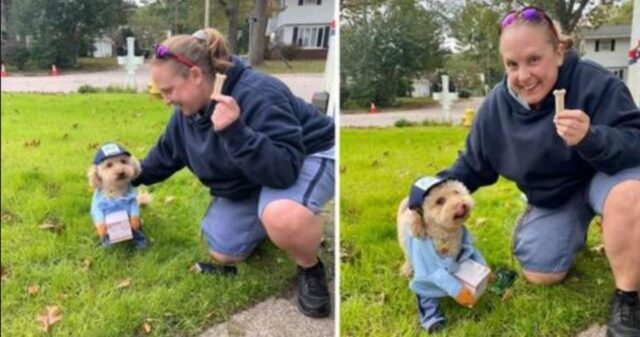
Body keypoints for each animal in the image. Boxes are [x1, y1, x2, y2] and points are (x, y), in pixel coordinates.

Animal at [396, 177, 484, 332]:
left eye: (456, 192)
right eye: (440, 201)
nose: (462, 205)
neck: (444, 237)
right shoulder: (425, 274)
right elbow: (426, 296)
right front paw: (434, 321)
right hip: (404, 243)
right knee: (408, 257)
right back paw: (406, 269)